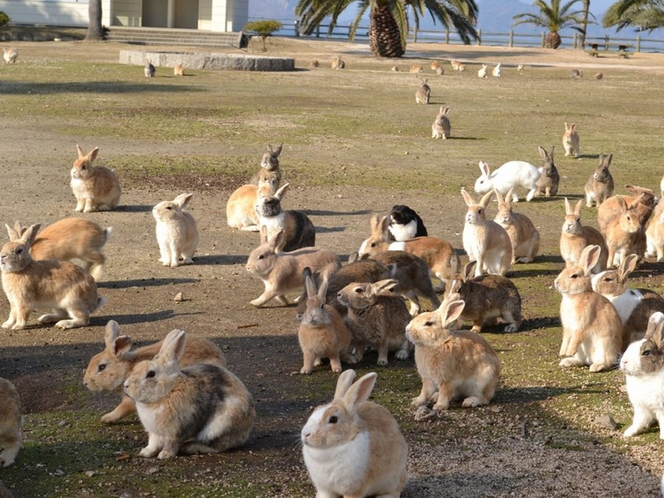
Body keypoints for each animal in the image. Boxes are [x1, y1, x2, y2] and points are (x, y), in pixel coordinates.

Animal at [83, 320, 227, 424]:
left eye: (102, 367)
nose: (85, 383)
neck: (127, 369)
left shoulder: (132, 399)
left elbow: (122, 408)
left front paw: (107, 418)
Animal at [122, 328, 254, 462]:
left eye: (150, 374)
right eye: (137, 366)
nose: (126, 385)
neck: (168, 392)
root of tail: (246, 431)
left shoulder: (176, 431)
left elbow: (171, 444)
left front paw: (165, 455)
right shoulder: (154, 432)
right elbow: (153, 444)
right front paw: (145, 452)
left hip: (219, 426)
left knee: (219, 446)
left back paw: (190, 447)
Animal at [300, 370, 408, 498]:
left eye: (333, 419)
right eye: (315, 409)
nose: (305, 434)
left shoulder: (354, 489)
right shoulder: (325, 489)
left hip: (393, 479)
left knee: (394, 492)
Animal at [556, 243, 628, 372]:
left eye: (574, 276)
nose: (556, 282)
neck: (575, 296)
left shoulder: (582, 323)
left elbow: (576, 337)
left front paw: (569, 351)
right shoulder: (568, 327)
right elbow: (566, 337)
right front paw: (563, 352)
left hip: (604, 346)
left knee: (607, 362)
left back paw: (596, 366)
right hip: (582, 352)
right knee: (581, 361)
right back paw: (567, 361)